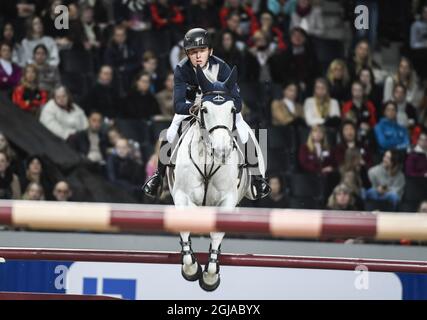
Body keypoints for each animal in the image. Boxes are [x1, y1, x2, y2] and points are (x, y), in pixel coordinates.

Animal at [167, 66, 252, 292]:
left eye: (232, 110)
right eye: (204, 110)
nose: (222, 150)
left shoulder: (227, 201)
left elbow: (216, 235)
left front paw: (210, 277)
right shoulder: (182, 197)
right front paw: (191, 269)